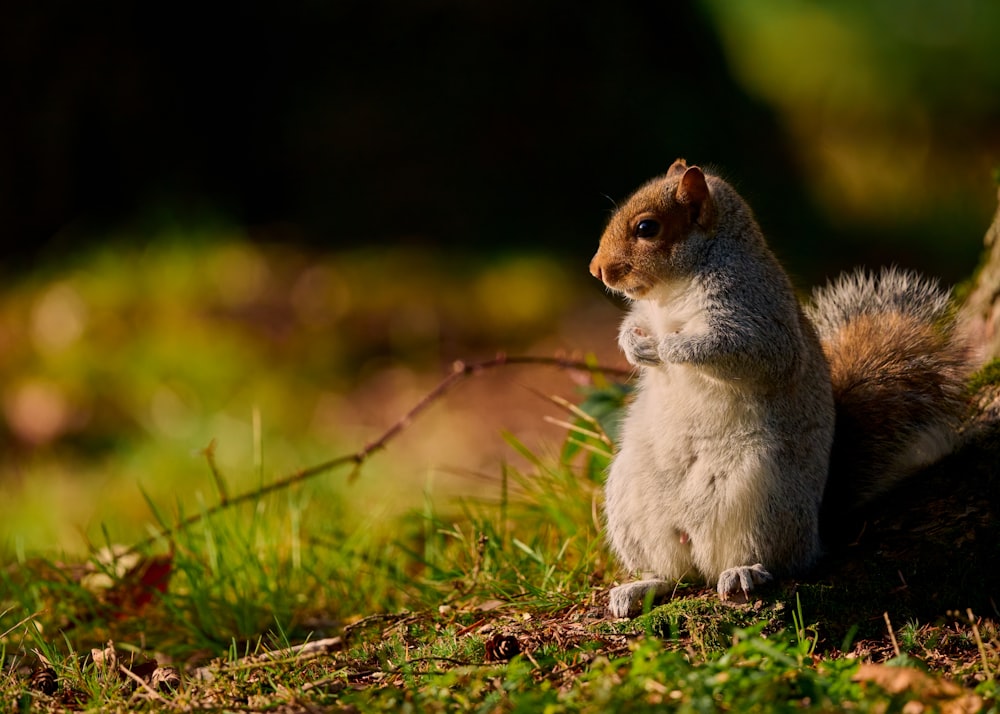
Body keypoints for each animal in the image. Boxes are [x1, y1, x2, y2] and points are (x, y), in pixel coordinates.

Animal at [588, 159, 972, 616]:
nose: (595, 270)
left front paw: (666, 346)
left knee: (776, 561)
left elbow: (741, 350)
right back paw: (639, 587)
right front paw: (633, 345)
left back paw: (744, 573)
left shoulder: (755, 314)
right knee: (675, 574)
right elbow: (634, 323)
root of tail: (817, 530)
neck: (671, 291)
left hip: (762, 494)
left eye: (647, 228)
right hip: (629, 498)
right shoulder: (648, 311)